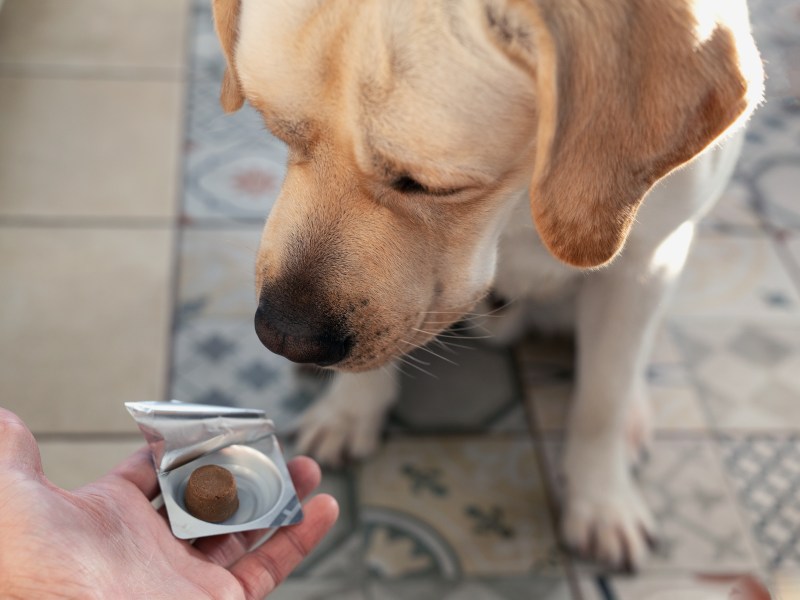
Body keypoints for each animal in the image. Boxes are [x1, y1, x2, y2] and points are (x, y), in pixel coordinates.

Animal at [211, 0, 764, 568]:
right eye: (276, 132)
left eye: (432, 186)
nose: (284, 337)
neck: (519, 207)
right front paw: (349, 410)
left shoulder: (646, 263)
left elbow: (602, 400)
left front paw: (601, 500)